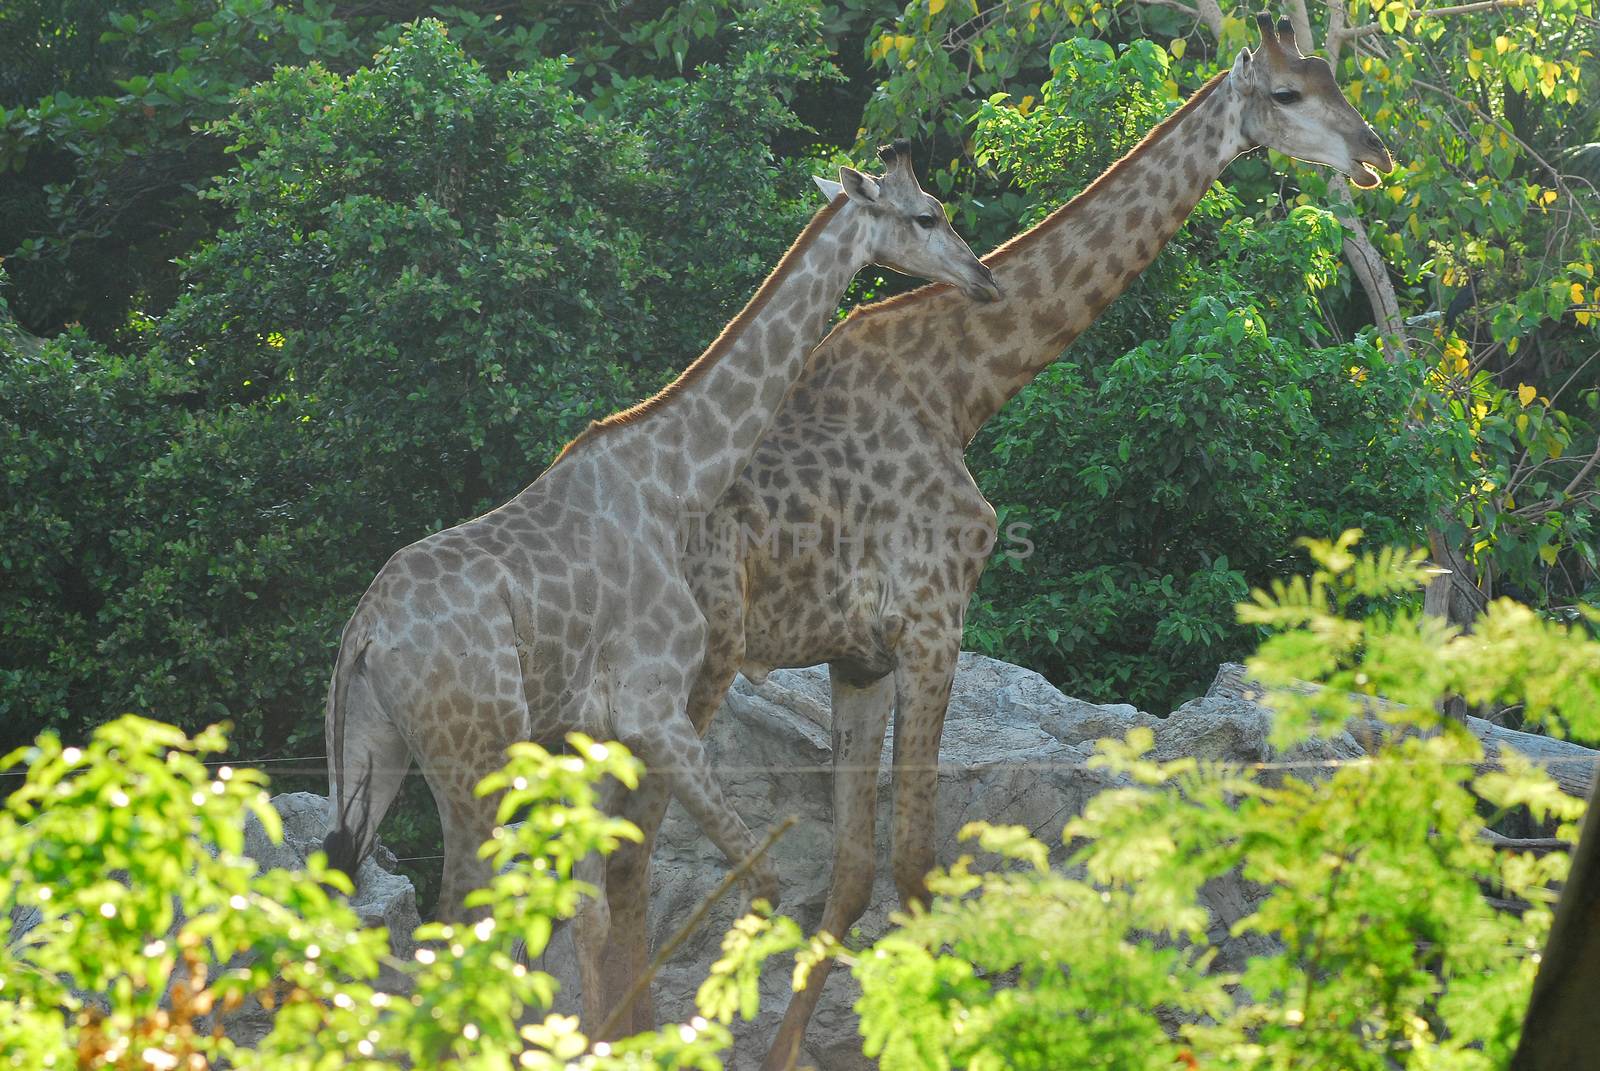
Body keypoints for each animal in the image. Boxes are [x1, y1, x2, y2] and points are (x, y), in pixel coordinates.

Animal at [320, 141, 998, 1018]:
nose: (984, 280)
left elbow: (595, 906)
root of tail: (364, 633)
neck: (676, 476)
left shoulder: (591, 732)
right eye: (927, 215)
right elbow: (758, 880)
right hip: (473, 757)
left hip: (373, 752)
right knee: (451, 927)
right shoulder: (654, 707)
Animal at [595, 14, 1395, 1062]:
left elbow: (853, 872)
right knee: (629, 848)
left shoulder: (861, 657)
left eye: (1335, 78)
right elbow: (918, 866)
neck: (959, 387)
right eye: (1290, 94)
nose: (1377, 154)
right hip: (695, 669)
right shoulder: (935, 622)